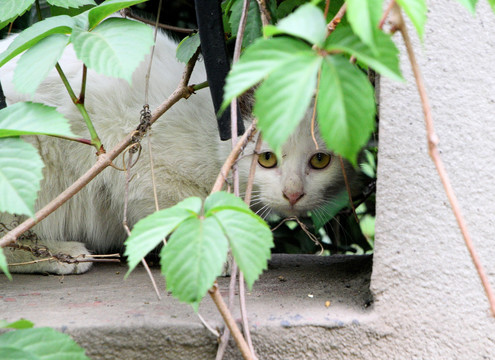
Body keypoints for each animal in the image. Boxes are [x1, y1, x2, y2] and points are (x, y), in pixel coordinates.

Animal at [0, 28, 356, 276]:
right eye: (267, 158)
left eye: (320, 160)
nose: (293, 194)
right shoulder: (142, 161)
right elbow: (183, 208)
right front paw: (215, 253)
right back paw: (58, 254)